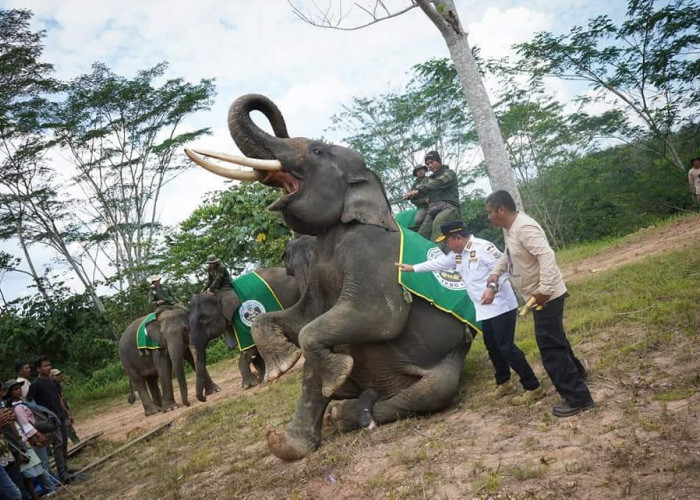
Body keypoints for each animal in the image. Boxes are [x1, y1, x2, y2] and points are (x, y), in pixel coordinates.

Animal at [187, 268, 300, 400]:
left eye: (203, 318)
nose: (205, 398)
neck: (220, 292)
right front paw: (261, 379)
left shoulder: (242, 320)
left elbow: (249, 348)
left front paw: (248, 385)